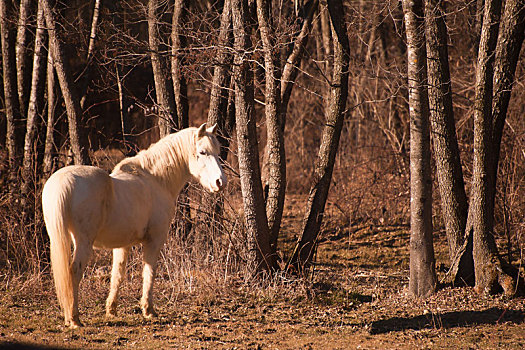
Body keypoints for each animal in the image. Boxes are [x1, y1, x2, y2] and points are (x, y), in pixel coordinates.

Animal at [42, 123, 226, 328]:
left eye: (218, 152)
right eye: (202, 152)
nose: (220, 182)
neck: (156, 180)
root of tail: (63, 182)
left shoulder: (123, 245)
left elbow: (117, 274)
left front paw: (111, 310)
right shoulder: (154, 240)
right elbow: (149, 272)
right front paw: (149, 310)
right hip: (83, 242)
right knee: (74, 272)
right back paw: (74, 319)